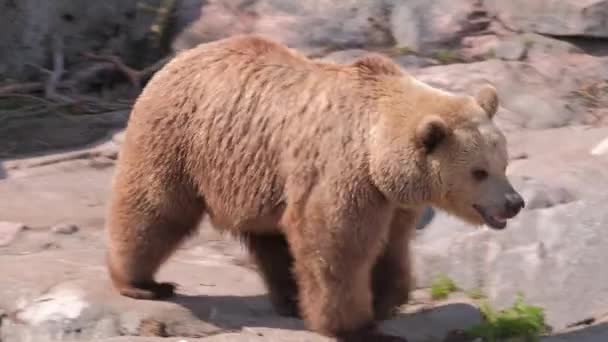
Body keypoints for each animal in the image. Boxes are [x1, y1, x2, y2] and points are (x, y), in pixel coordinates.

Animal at [104, 34, 524, 342]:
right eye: (479, 172)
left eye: (503, 163)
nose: (513, 202)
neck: (377, 147)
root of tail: (176, 59)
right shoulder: (343, 172)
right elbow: (335, 244)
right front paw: (357, 326)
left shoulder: (392, 197)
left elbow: (391, 247)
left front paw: (385, 300)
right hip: (181, 140)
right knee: (155, 208)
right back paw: (143, 283)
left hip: (259, 177)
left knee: (271, 241)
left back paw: (290, 299)